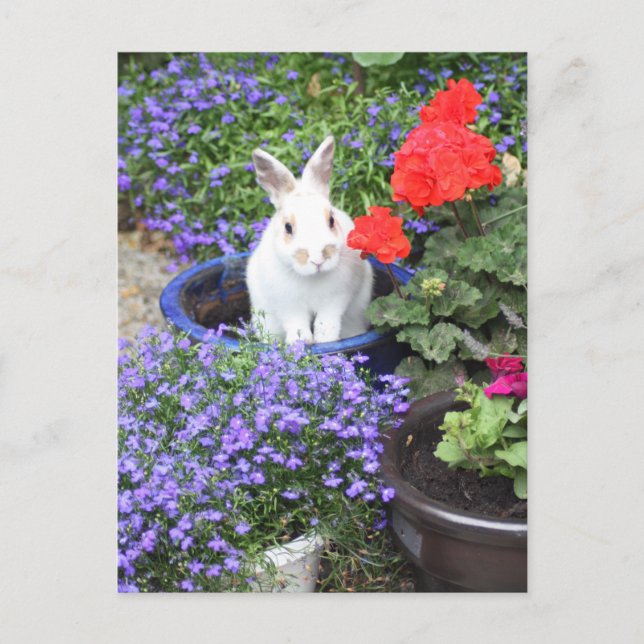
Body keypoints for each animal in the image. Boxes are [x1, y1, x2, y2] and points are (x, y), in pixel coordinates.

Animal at [246, 135, 373, 344]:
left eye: (331, 220)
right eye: (288, 227)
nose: (318, 259)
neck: (312, 277)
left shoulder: (337, 297)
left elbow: (327, 318)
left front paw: (325, 339)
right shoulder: (287, 304)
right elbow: (295, 322)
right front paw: (300, 342)